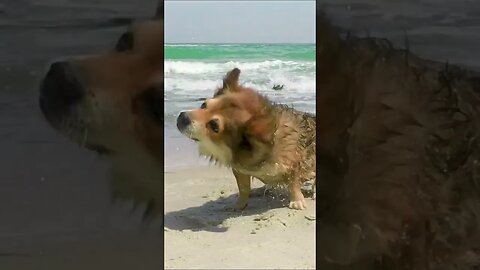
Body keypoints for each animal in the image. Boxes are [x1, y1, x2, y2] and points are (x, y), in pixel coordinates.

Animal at [176, 68, 316, 211]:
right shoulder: (240, 170)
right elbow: (243, 188)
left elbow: (293, 183)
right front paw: (239, 204)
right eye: (204, 104)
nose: (183, 116)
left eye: (214, 126)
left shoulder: (294, 165)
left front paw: (297, 201)